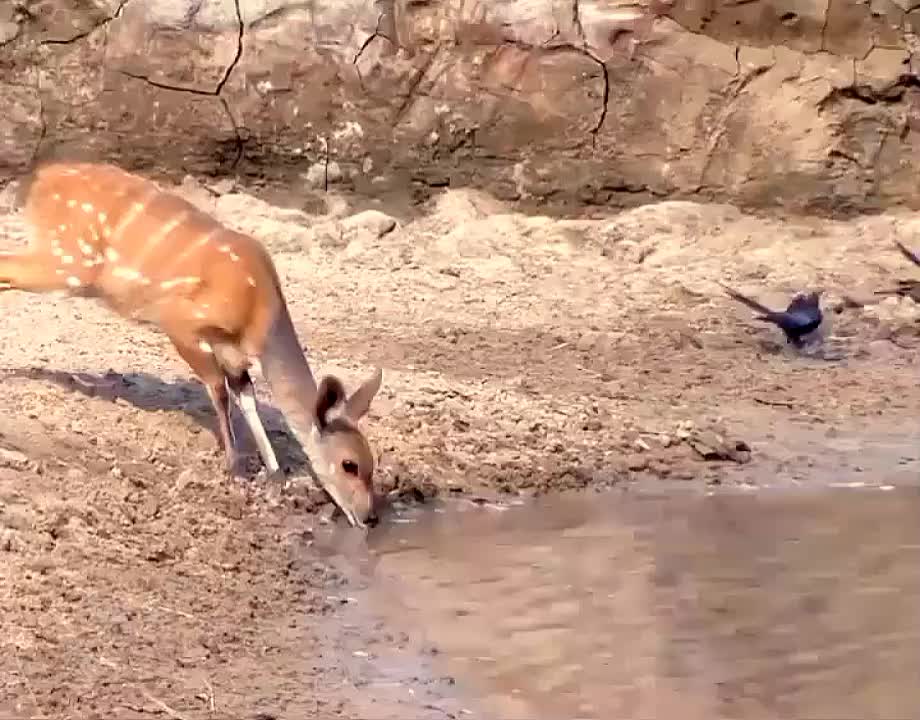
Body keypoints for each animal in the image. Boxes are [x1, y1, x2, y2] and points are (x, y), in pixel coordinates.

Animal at [1, 160, 382, 524]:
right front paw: (235, 467)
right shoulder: (181, 324)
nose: (369, 517)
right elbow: (218, 391)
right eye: (349, 464)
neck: (259, 312)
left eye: (372, 464)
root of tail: (40, 178)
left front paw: (275, 475)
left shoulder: (232, 353)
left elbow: (246, 396)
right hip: (68, 264)